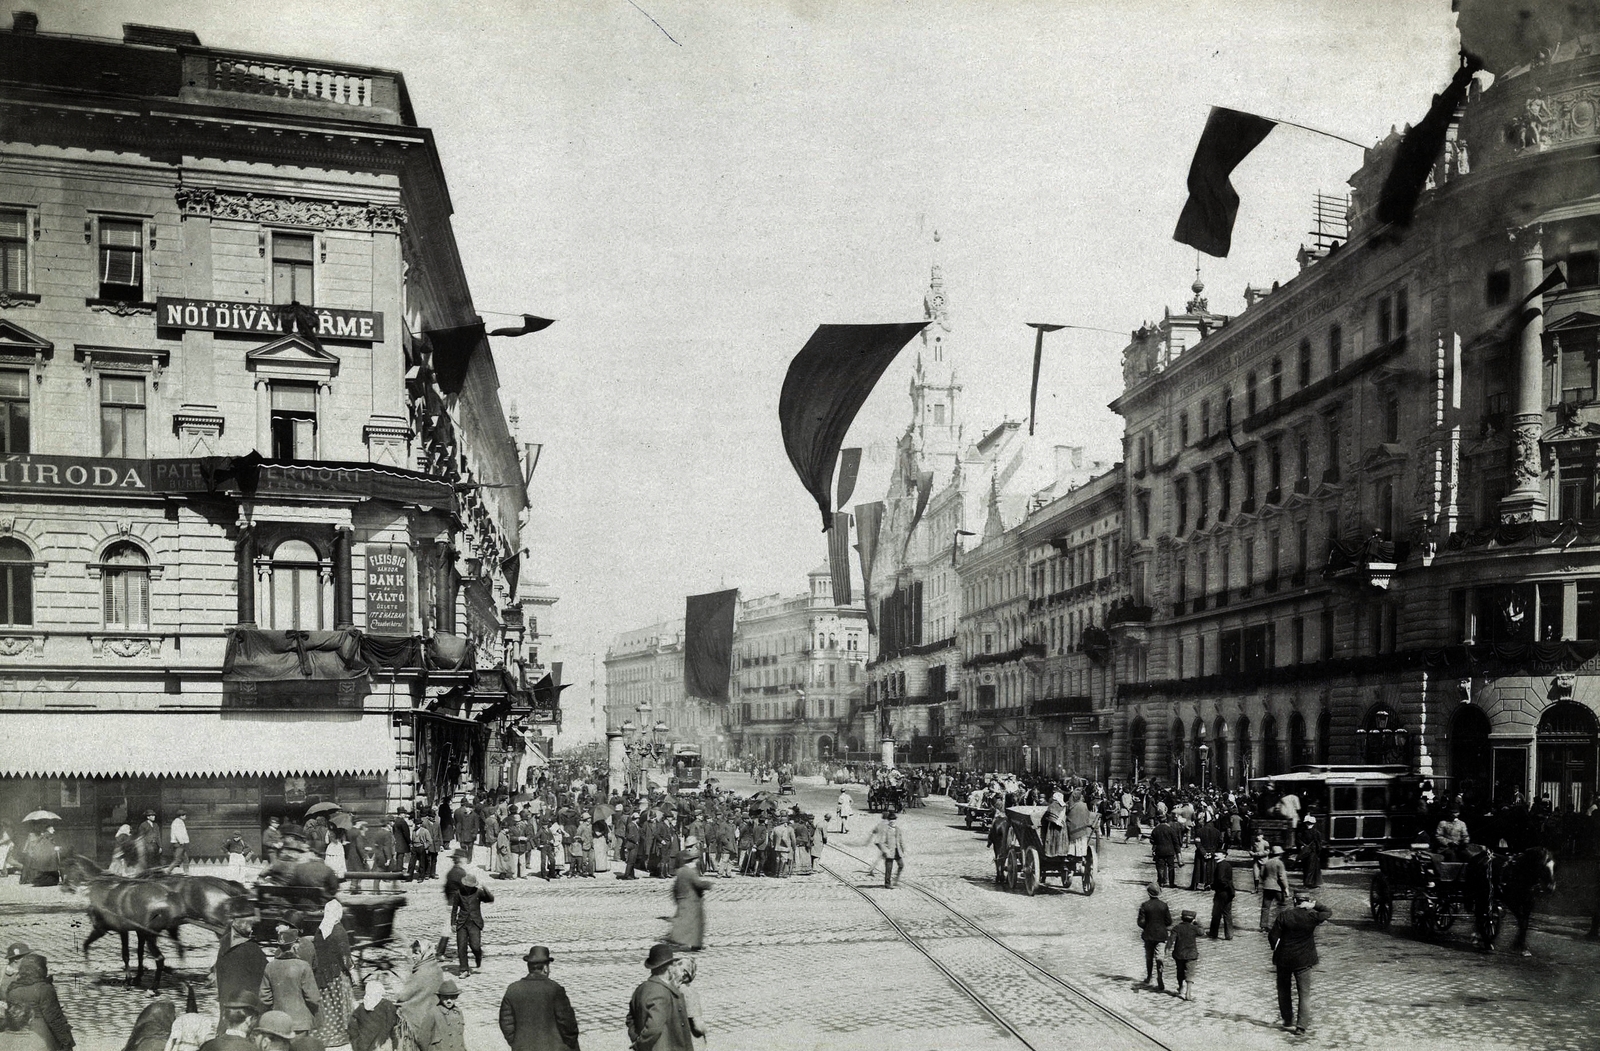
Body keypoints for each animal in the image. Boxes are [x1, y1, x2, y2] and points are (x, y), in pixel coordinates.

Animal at [58, 851, 187, 985]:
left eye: (64, 869)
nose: (62, 887)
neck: (102, 886)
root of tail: (167, 896)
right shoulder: (135, 931)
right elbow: (139, 952)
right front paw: (137, 977)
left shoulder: (114, 930)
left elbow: (124, 954)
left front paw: (128, 978)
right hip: (164, 931)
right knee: (176, 951)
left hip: (150, 934)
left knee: (160, 958)